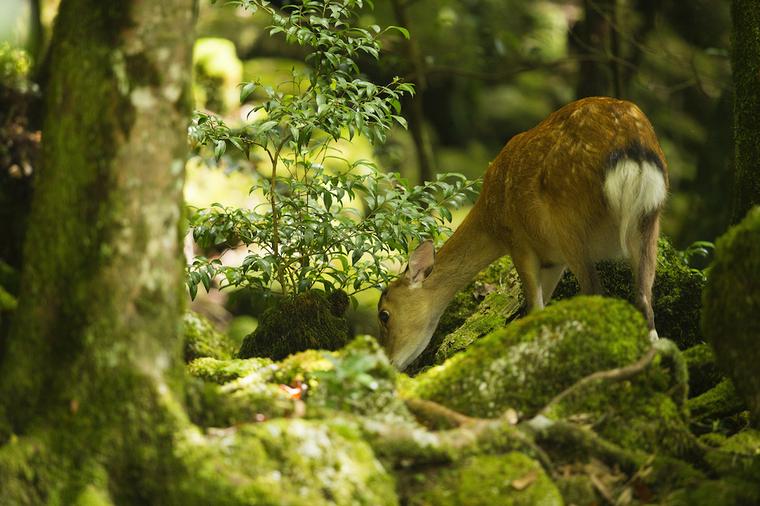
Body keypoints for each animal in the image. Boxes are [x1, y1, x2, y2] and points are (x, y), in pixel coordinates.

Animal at [378, 97, 668, 370]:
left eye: (384, 314)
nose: (390, 362)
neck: (490, 221)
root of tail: (633, 148)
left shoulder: (518, 239)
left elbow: (534, 309)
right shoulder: (553, 259)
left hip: (569, 221)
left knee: (596, 292)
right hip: (649, 219)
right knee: (645, 300)